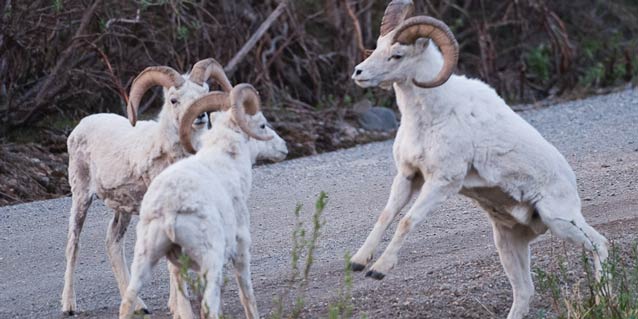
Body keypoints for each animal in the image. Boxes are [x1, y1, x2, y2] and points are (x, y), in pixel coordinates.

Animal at [60, 58, 232, 316]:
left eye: (204, 93)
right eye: (173, 100)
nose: (200, 116)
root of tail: (81, 126)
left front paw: (174, 306)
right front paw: (180, 310)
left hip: (122, 209)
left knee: (113, 242)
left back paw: (139, 306)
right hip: (81, 196)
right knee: (73, 244)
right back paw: (69, 306)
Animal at [119, 84, 288, 319]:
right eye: (262, 124)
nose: (284, 147)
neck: (228, 160)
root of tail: (169, 209)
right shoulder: (241, 245)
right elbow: (247, 294)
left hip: (147, 260)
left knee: (129, 302)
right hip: (211, 261)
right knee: (209, 306)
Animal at [352, 1, 612, 318]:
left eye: (397, 54)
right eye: (377, 46)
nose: (358, 72)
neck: (430, 117)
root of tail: (570, 184)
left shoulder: (441, 184)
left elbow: (407, 221)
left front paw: (379, 270)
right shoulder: (409, 176)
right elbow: (387, 215)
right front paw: (358, 262)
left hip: (561, 222)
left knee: (600, 245)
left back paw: (604, 299)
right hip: (507, 242)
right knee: (524, 292)